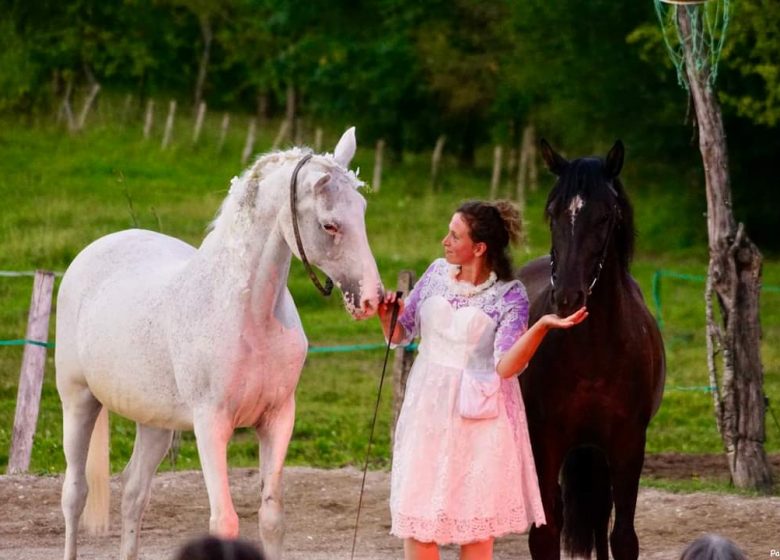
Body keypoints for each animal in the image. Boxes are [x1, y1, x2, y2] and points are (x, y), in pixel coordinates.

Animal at [54, 128, 380, 560]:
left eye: (362, 210)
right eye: (329, 225)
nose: (372, 299)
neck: (248, 313)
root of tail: (96, 249)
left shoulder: (278, 419)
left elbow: (272, 518)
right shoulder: (211, 425)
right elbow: (224, 521)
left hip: (154, 423)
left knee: (134, 495)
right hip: (78, 402)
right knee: (74, 494)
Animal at [516, 140, 664, 560]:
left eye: (604, 216)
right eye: (552, 212)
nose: (568, 297)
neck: (594, 352)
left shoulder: (628, 444)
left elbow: (623, 538)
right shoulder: (545, 441)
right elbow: (544, 535)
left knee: (599, 516)